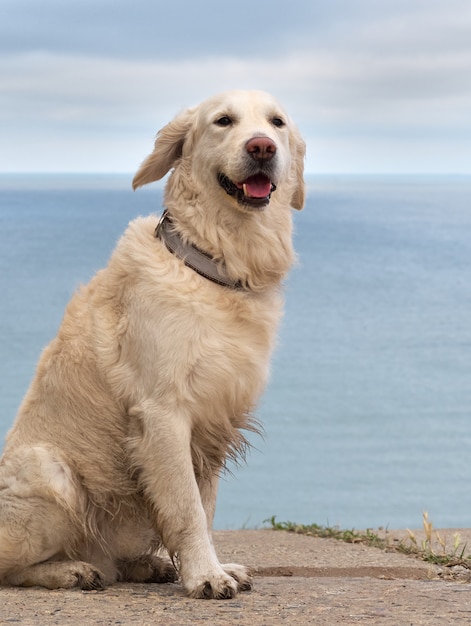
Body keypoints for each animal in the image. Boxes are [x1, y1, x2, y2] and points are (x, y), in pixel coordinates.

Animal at [0, 89, 306, 596]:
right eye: (224, 121)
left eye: (276, 123)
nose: (262, 146)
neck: (213, 263)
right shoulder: (164, 413)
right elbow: (187, 510)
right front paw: (205, 576)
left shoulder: (213, 422)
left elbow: (205, 507)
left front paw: (212, 567)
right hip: (53, 473)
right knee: (14, 567)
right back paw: (71, 570)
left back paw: (143, 564)